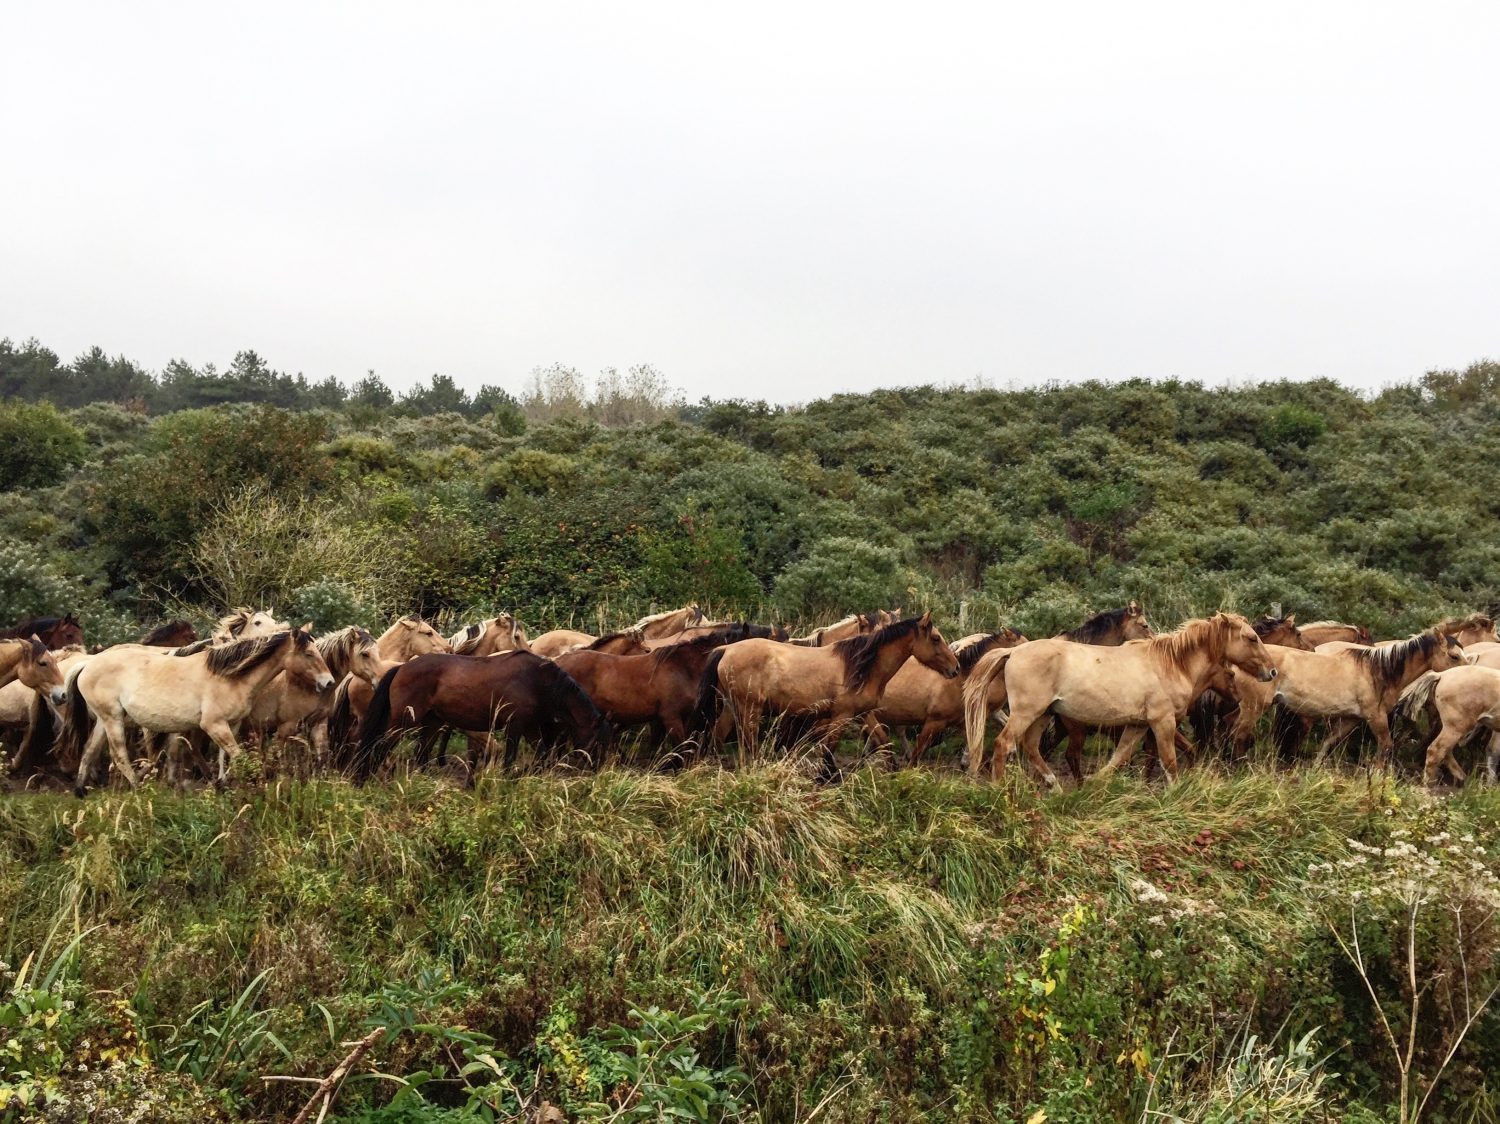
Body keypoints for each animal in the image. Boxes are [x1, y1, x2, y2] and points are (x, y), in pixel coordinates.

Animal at [67, 627, 334, 792]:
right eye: (308, 653)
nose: (329, 682)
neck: (230, 677)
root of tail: (88, 663)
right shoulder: (212, 725)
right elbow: (237, 755)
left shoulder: (231, 724)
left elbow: (224, 755)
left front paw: (222, 784)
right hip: (113, 719)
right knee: (119, 754)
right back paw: (138, 787)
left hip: (104, 720)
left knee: (89, 749)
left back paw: (80, 789)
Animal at [351, 648, 609, 780]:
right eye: (598, 740)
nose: (597, 769)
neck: (538, 680)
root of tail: (402, 667)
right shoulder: (515, 726)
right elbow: (510, 758)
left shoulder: (530, 727)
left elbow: (542, 755)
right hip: (404, 720)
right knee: (382, 746)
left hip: (432, 722)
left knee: (421, 753)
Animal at [696, 615, 954, 762]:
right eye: (935, 638)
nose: (955, 667)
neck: (860, 667)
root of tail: (726, 650)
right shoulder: (841, 716)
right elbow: (828, 755)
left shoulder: (863, 714)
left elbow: (883, 742)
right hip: (750, 708)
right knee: (749, 742)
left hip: (732, 706)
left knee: (718, 736)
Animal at [960, 609, 1278, 786]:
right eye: (1251, 638)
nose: (1272, 671)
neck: (1172, 664)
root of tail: (1012, 652)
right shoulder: (1162, 723)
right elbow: (1169, 761)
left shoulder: (1138, 725)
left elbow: (1119, 758)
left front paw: (1093, 784)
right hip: (1026, 712)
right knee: (1003, 744)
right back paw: (1000, 790)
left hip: (1043, 715)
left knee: (1031, 747)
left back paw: (1055, 785)